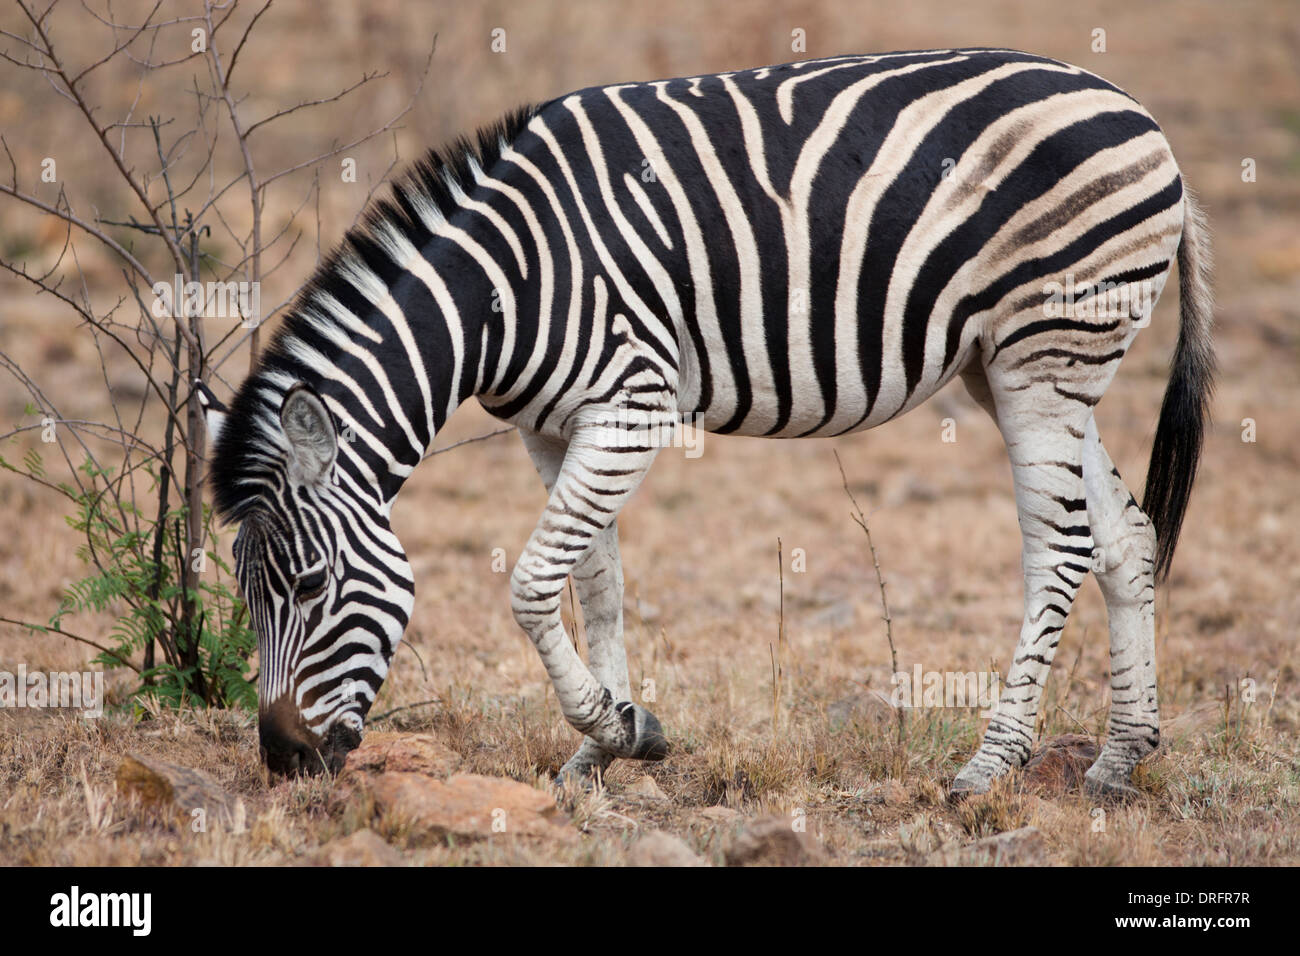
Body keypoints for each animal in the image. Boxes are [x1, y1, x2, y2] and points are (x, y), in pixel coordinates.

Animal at [199, 48, 1213, 800]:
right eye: (246, 592)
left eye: (311, 583)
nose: (284, 762)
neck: (502, 291)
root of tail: (1141, 114)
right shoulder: (554, 427)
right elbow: (597, 580)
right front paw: (608, 741)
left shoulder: (630, 408)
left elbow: (531, 583)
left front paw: (608, 727)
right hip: (1017, 366)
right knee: (1124, 537)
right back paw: (1119, 759)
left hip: (1047, 353)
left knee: (1060, 548)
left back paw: (990, 764)